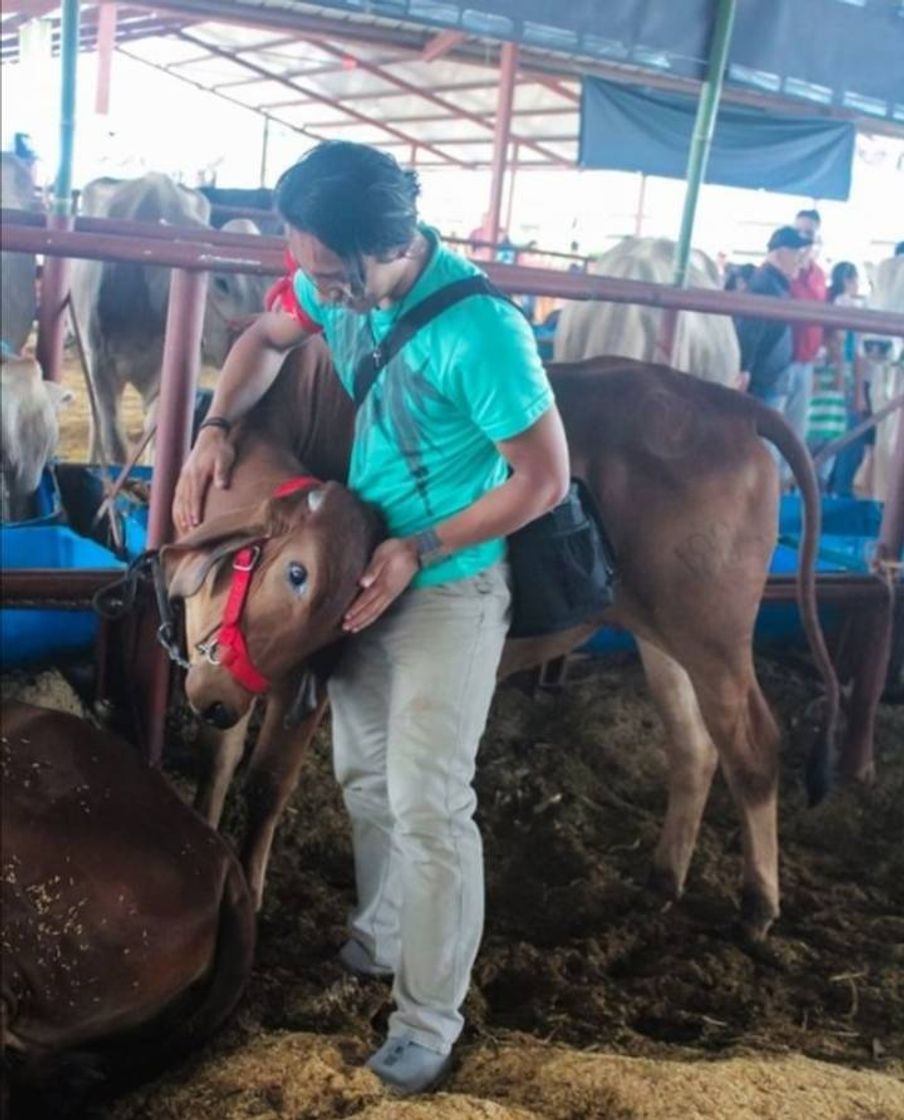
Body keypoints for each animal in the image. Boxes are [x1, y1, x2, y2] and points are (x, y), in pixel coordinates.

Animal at [156, 340, 842, 945]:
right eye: (294, 573)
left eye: (337, 611)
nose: (214, 698)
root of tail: (732, 405)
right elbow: (216, 762)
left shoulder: (303, 684)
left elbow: (265, 784)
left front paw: (250, 896)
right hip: (661, 636)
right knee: (694, 747)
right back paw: (662, 879)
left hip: (715, 634)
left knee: (753, 746)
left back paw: (756, 906)